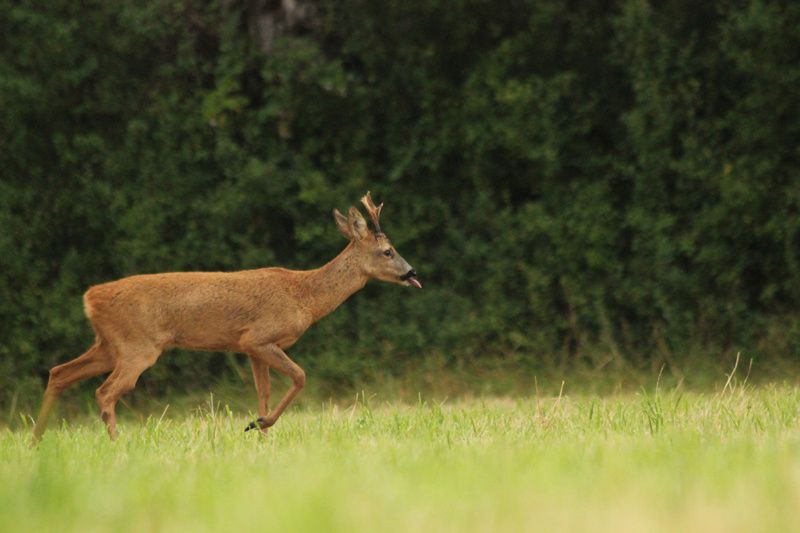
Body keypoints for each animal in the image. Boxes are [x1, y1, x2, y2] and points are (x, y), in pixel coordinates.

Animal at [30, 191, 418, 440]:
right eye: (388, 251)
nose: (411, 272)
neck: (304, 296)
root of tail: (90, 298)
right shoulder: (258, 337)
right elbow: (300, 376)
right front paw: (259, 425)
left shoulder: (251, 348)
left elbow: (263, 392)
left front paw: (261, 430)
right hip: (137, 346)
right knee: (104, 392)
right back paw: (115, 444)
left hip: (110, 344)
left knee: (59, 373)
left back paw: (36, 442)